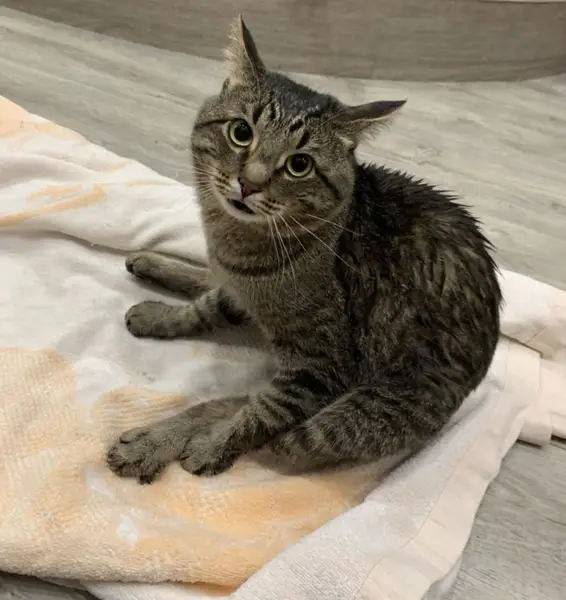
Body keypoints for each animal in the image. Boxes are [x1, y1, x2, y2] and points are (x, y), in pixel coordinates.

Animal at [107, 16, 502, 484]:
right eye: (241, 132)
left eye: (300, 165)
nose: (250, 183)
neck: (237, 241)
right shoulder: (240, 290)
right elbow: (205, 307)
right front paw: (163, 314)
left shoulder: (320, 370)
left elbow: (259, 415)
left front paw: (209, 445)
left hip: (355, 414)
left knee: (259, 418)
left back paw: (163, 439)